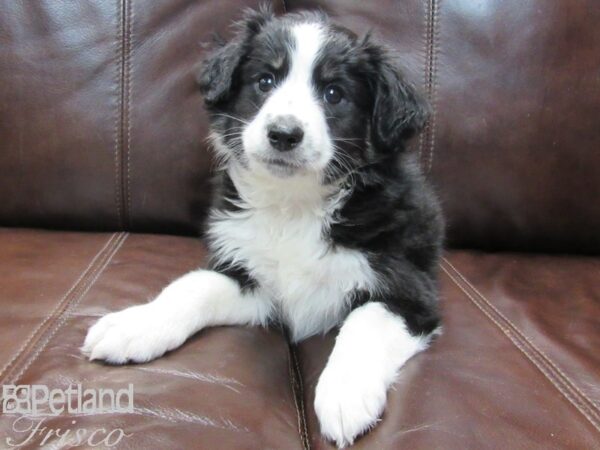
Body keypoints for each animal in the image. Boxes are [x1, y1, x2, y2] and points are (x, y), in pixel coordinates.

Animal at [82, 6, 442, 446]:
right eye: (265, 81)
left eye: (334, 93)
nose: (283, 134)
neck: (294, 207)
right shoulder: (251, 276)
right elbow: (192, 287)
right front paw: (134, 324)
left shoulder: (409, 290)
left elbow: (365, 323)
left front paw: (344, 395)